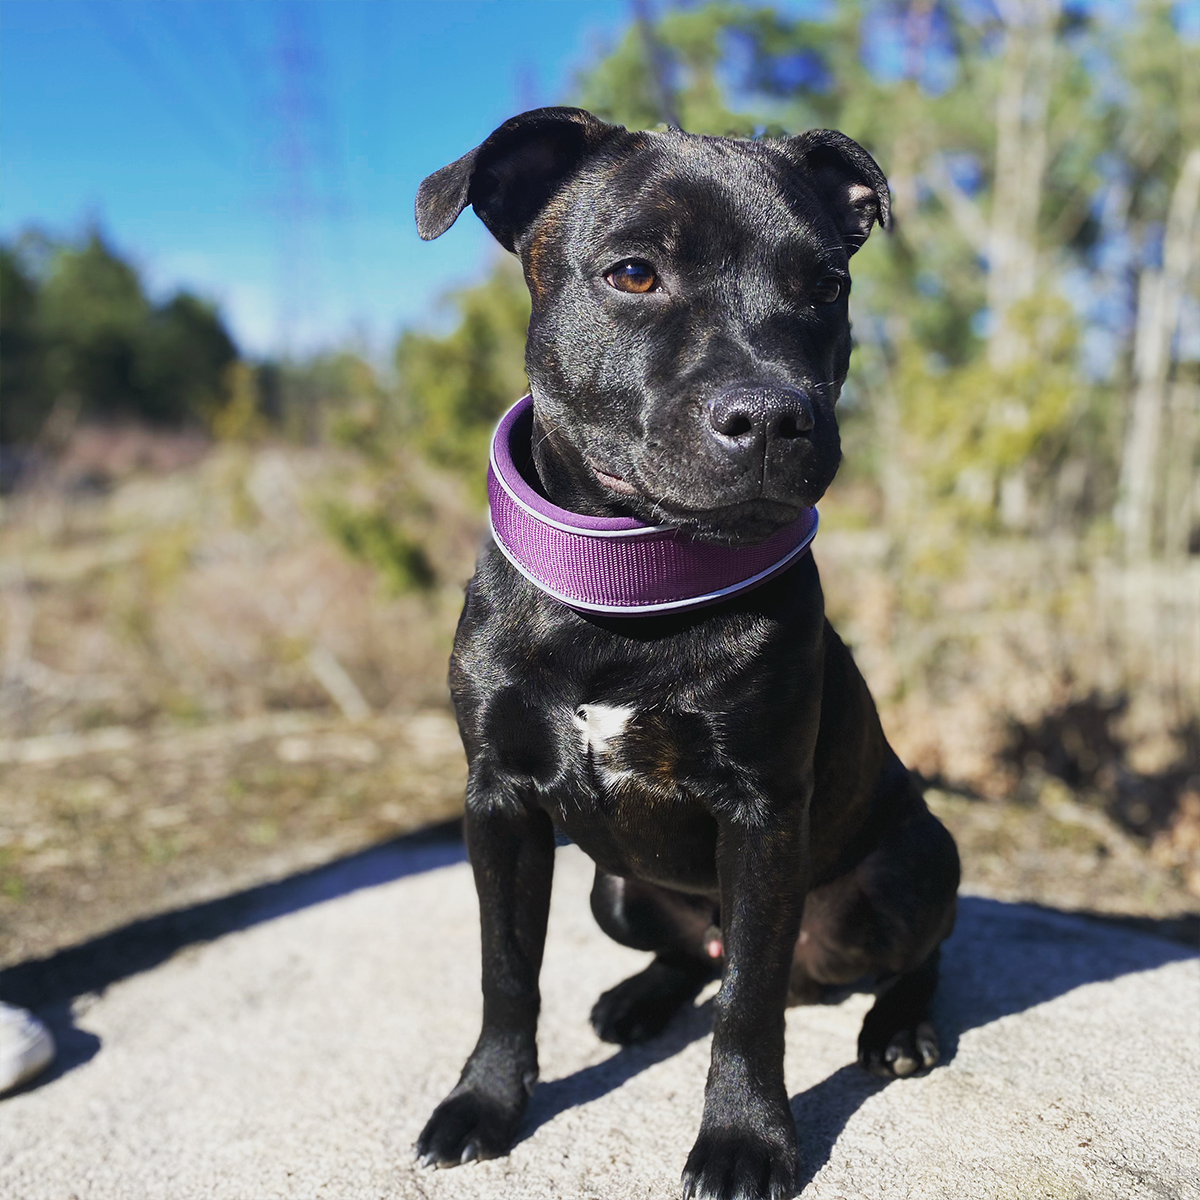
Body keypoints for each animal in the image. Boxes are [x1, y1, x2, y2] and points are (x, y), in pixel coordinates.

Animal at [412, 108, 955, 1195]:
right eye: (633, 274)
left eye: (826, 287)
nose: (775, 416)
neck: (631, 587)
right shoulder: (498, 803)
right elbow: (506, 970)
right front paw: (485, 1102)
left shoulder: (762, 813)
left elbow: (746, 1005)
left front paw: (744, 1140)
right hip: (614, 889)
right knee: (687, 955)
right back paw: (636, 998)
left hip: (916, 862)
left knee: (910, 955)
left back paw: (898, 1027)